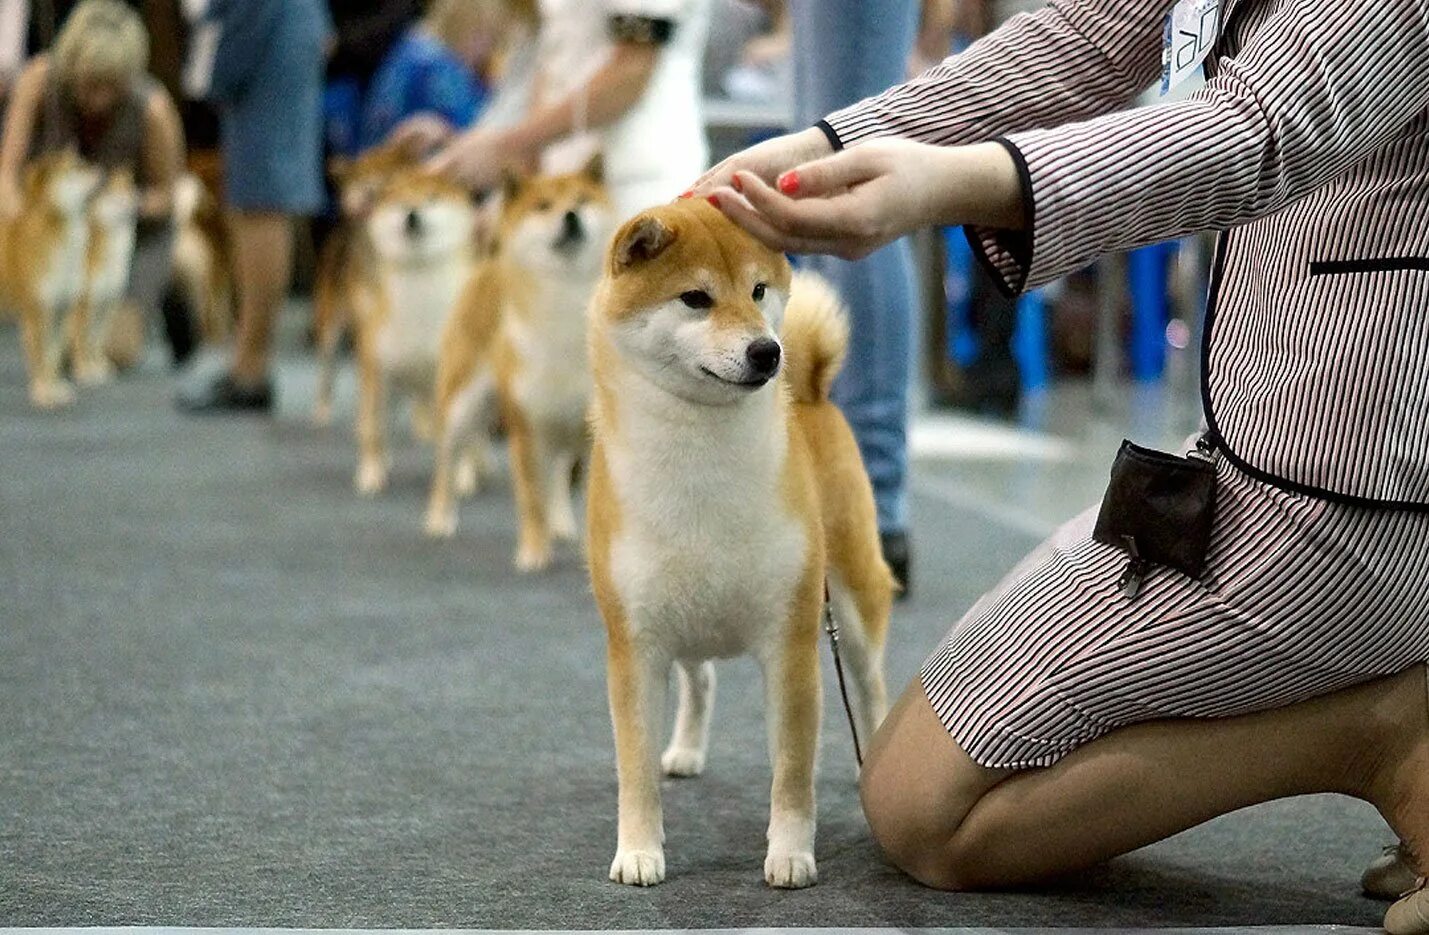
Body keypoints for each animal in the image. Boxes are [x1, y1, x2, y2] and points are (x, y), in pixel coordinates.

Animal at [0, 149, 100, 406]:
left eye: (83, 163)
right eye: (75, 168)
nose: (99, 169)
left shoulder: (61, 310)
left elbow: (53, 355)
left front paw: (56, 389)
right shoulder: (38, 312)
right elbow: (41, 357)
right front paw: (43, 394)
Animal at [352, 167, 477, 494]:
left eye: (431, 197)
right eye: (401, 200)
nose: (412, 213)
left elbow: (464, 441)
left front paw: (462, 476)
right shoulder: (379, 377)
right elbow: (375, 431)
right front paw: (371, 474)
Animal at [417, 157, 608, 571]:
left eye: (582, 200)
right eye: (543, 206)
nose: (570, 216)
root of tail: (490, 267)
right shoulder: (525, 430)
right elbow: (531, 499)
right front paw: (533, 552)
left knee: (558, 478)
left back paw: (561, 523)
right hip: (461, 406)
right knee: (447, 464)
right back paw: (440, 519)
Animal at [580, 200, 891, 892]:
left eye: (757, 291)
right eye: (695, 298)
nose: (767, 350)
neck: (700, 457)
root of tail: (813, 392)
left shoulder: (793, 642)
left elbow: (793, 771)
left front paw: (791, 854)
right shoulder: (635, 646)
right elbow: (633, 769)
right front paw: (638, 851)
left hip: (850, 605)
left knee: (870, 686)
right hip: (686, 618)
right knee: (702, 681)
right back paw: (685, 751)